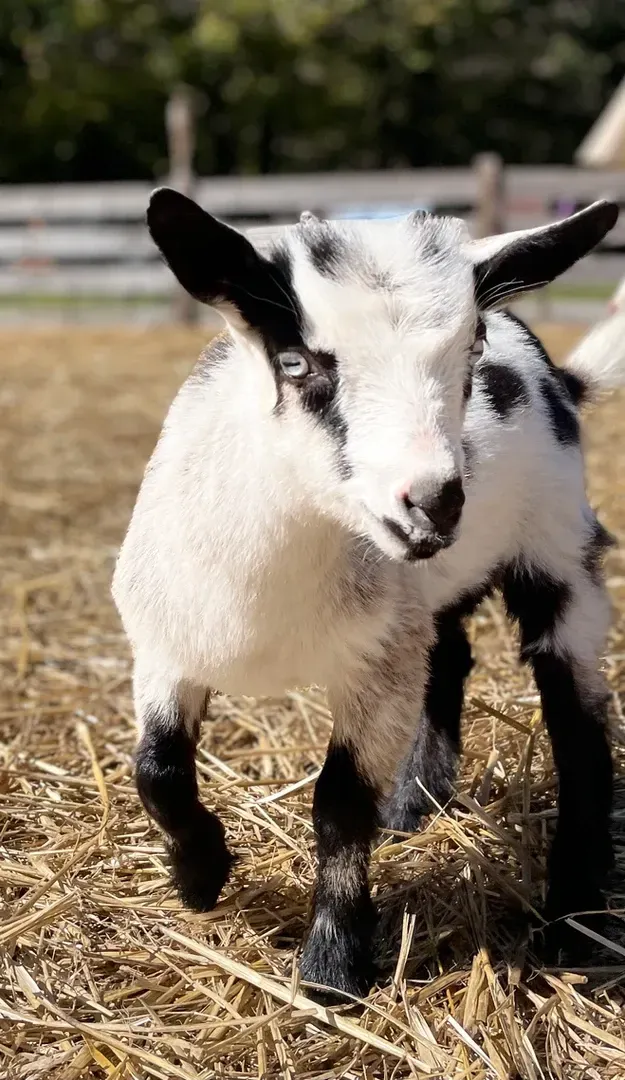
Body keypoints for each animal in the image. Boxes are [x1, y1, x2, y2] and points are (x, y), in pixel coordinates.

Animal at [113, 191, 622, 998]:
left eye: (471, 349)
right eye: (295, 362)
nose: (435, 503)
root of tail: (560, 379)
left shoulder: (375, 666)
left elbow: (340, 803)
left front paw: (332, 964)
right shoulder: (166, 646)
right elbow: (156, 771)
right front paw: (200, 878)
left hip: (559, 550)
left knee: (579, 724)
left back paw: (573, 917)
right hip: (433, 591)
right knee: (450, 660)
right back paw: (416, 801)